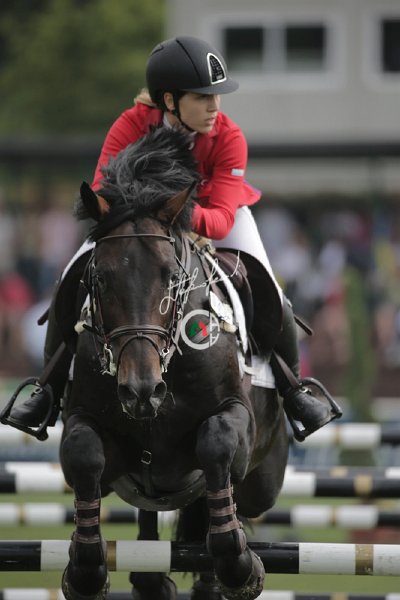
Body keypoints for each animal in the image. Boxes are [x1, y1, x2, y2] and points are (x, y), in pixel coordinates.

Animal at [59, 126, 289, 600]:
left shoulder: (235, 419)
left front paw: (240, 569)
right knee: (151, 519)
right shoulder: (88, 423)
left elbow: (216, 444)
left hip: (265, 480)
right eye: (100, 277)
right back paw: (151, 579)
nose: (141, 391)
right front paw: (86, 572)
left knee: (231, 498)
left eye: (171, 276)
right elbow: (83, 454)